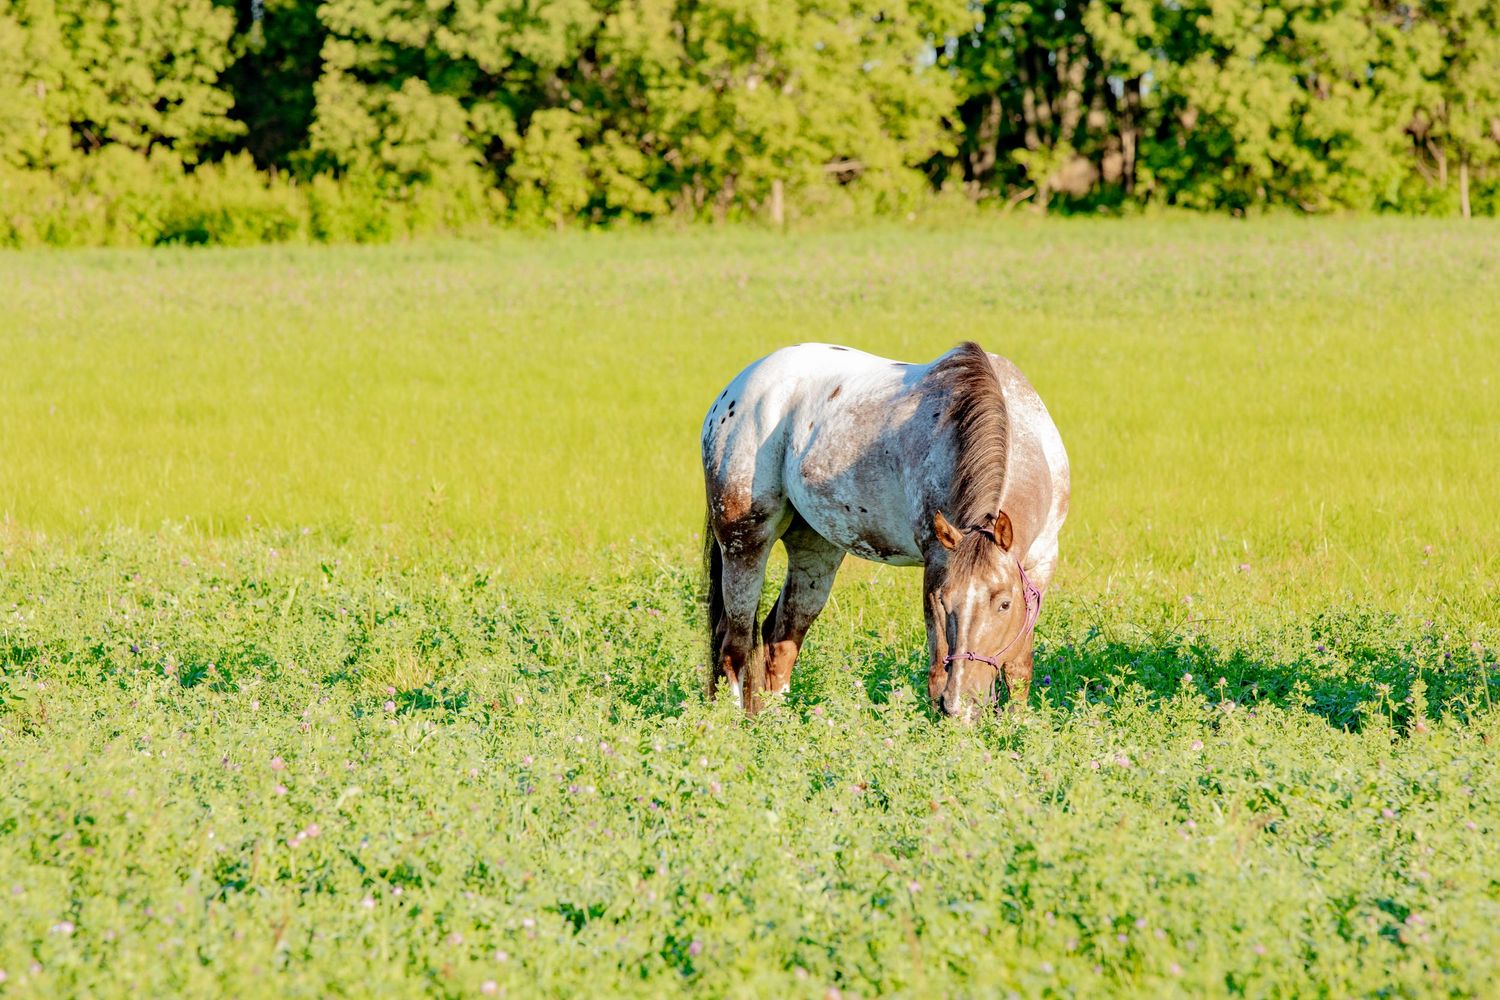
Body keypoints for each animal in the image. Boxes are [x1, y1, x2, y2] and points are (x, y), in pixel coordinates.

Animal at [700, 341, 1069, 719]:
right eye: (945, 600)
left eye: (1005, 604)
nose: (960, 706)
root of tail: (733, 391)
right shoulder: (936, 566)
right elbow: (937, 670)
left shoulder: (1040, 564)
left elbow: (1019, 669)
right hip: (744, 542)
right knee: (734, 644)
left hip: (815, 549)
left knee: (781, 637)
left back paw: (779, 722)